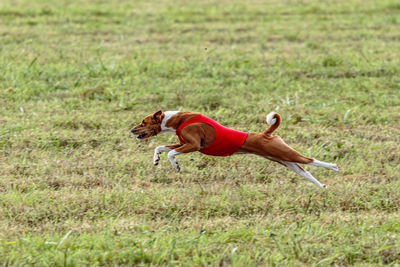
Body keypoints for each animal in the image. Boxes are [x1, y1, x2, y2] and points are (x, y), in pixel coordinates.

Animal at [131, 110, 338, 188]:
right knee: (306, 172)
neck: (177, 119)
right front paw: (156, 159)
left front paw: (176, 166)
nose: (131, 129)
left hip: (284, 153)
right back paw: (321, 187)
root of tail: (266, 134)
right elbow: (161, 147)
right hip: (283, 160)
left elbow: (172, 153)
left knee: (310, 160)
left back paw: (334, 167)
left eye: (143, 122)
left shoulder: (193, 145)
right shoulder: (183, 143)